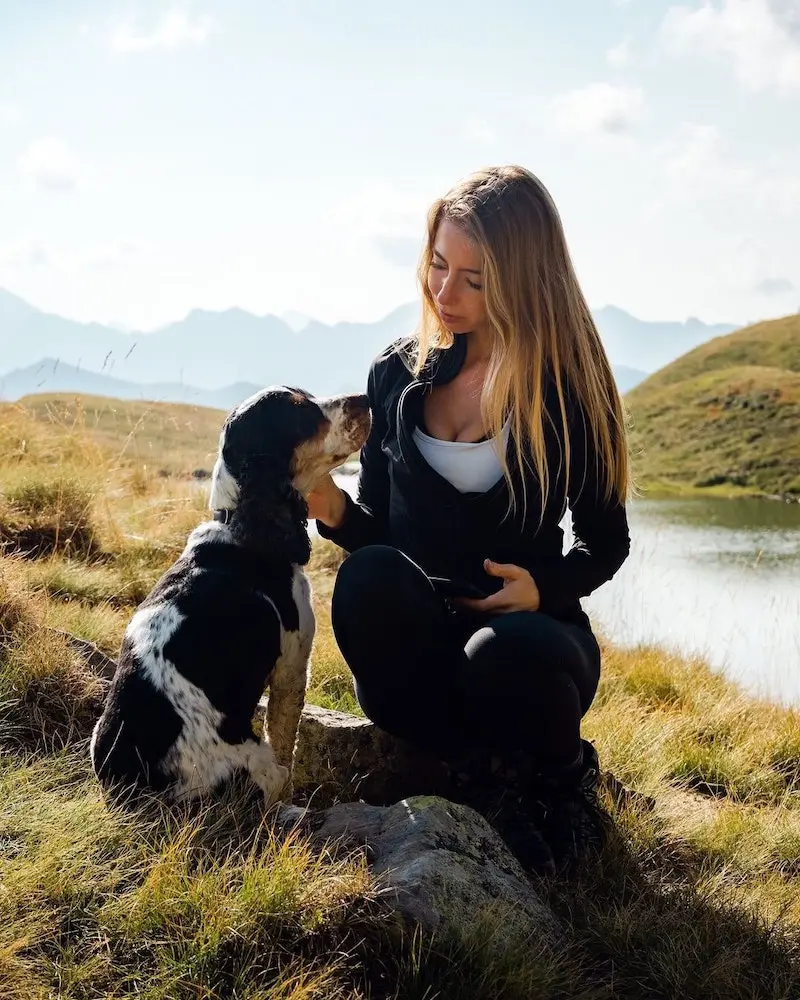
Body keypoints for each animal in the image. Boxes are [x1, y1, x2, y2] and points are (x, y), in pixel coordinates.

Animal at [90, 382, 372, 804]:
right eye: (303, 412)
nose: (365, 398)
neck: (240, 527)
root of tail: (136, 784)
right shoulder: (292, 662)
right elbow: (286, 736)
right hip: (255, 759)